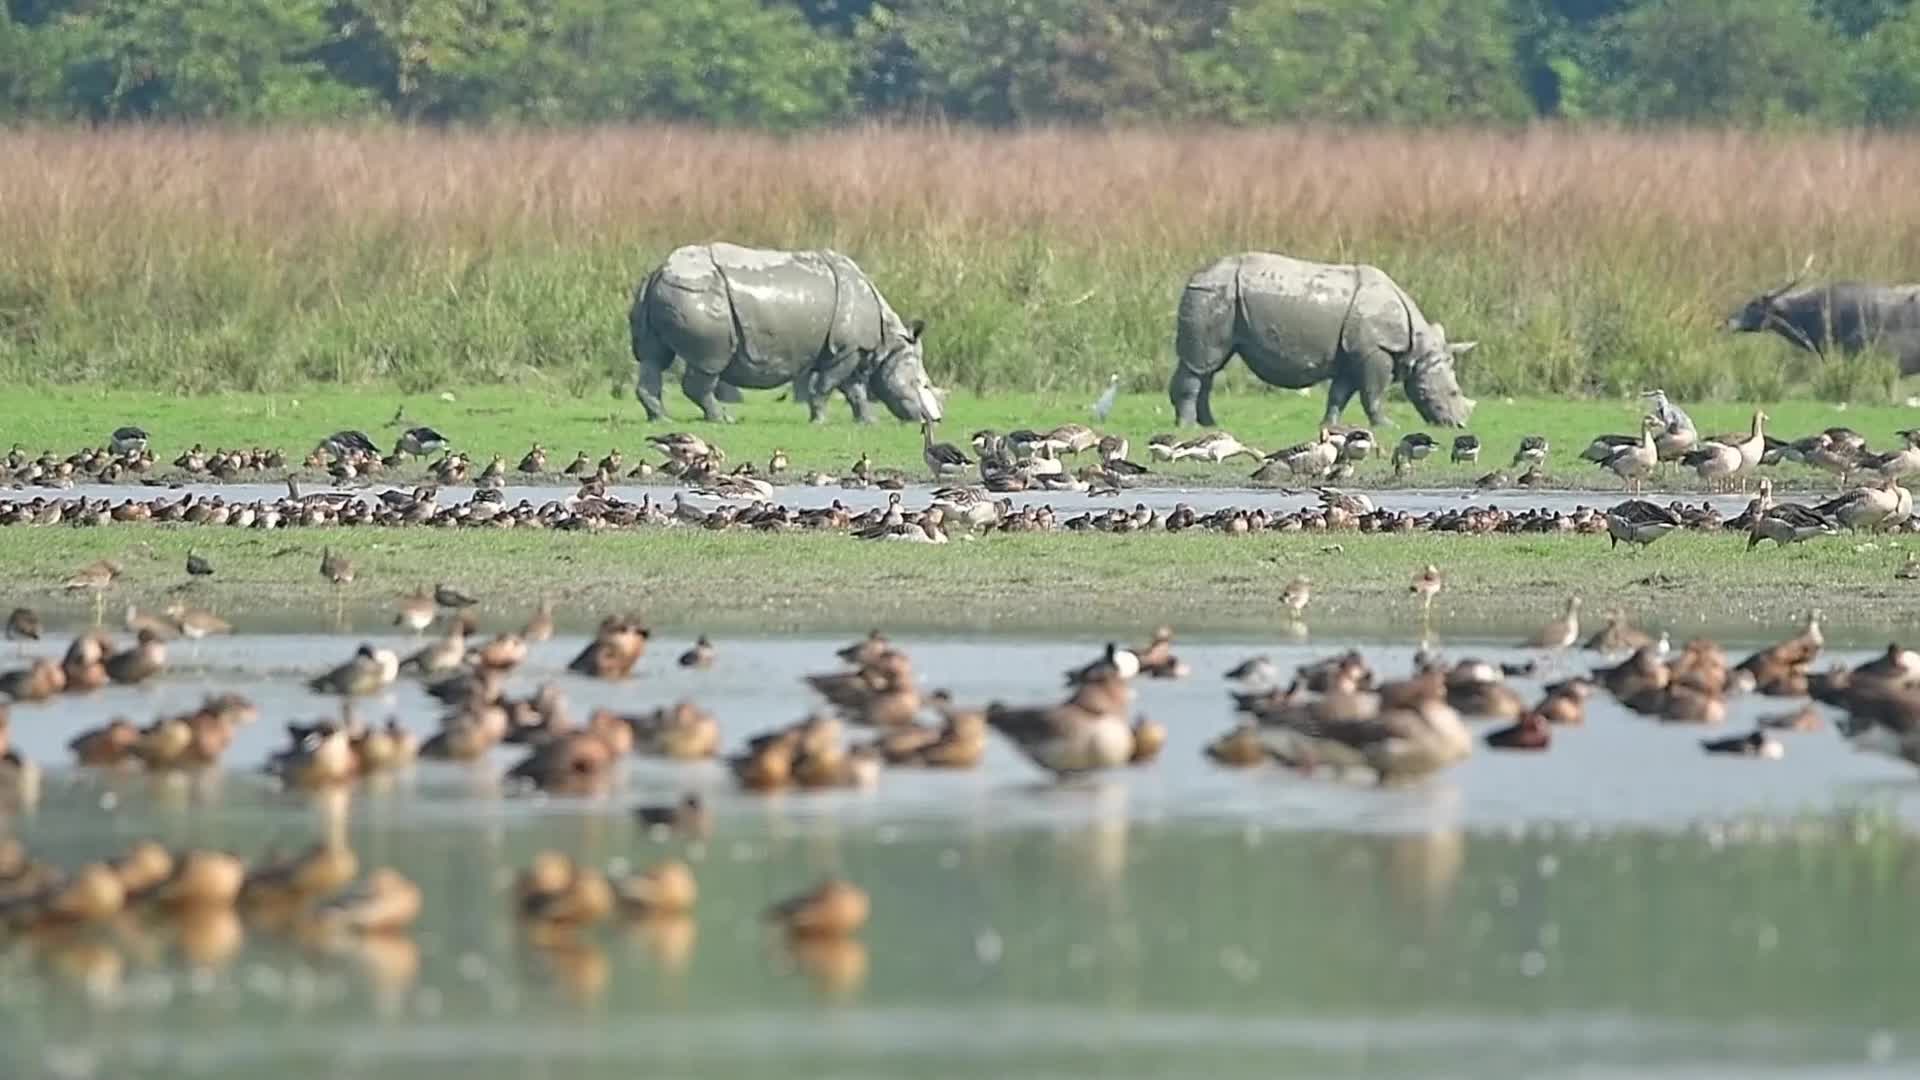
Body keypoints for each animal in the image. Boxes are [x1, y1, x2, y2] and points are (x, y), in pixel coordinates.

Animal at [631, 243, 943, 423]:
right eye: (923, 384)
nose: (935, 420)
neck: (889, 342)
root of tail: (658, 271)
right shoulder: (846, 350)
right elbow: (827, 385)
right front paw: (819, 422)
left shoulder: (852, 351)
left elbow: (854, 389)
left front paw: (868, 422)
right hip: (697, 295)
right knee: (709, 363)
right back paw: (722, 419)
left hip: (664, 292)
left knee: (653, 359)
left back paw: (660, 420)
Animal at [1169, 252, 1476, 428]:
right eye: (1453, 393)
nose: (1459, 425)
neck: (1418, 346)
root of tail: (1197, 274)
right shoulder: (1374, 350)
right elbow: (1373, 393)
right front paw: (1387, 427)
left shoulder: (1354, 354)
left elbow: (1340, 393)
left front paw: (1329, 425)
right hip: (1213, 293)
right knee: (1201, 365)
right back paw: (1188, 427)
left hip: (1219, 295)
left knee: (1209, 366)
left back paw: (1208, 425)